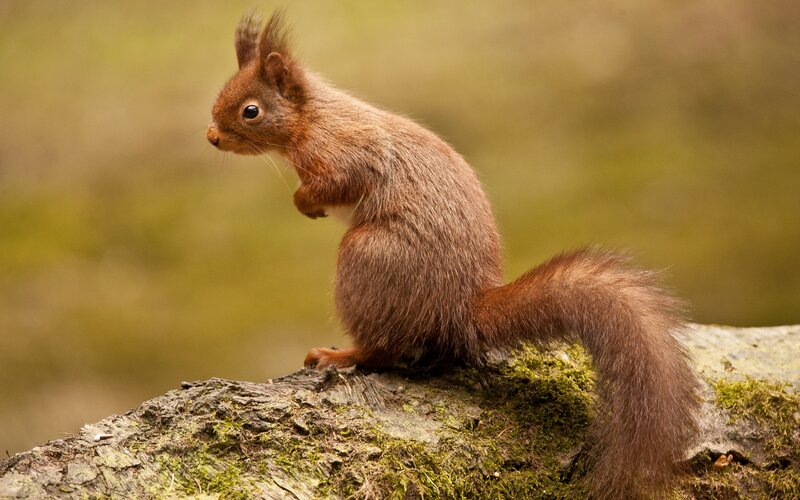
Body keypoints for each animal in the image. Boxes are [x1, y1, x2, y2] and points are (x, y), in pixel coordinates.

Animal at [207, 11, 699, 499]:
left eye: (251, 111)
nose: (211, 137)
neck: (312, 117)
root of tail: (459, 308)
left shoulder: (347, 152)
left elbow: (340, 181)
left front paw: (305, 202)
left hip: (368, 258)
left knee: (383, 350)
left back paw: (342, 355)